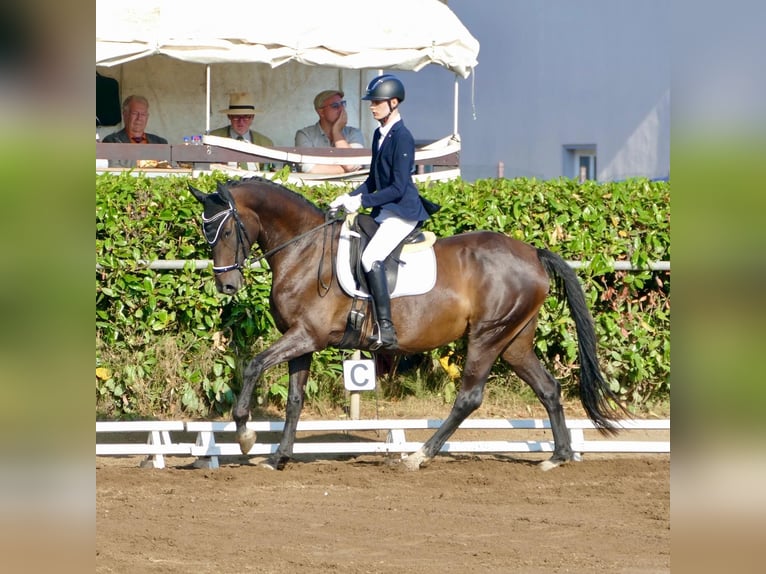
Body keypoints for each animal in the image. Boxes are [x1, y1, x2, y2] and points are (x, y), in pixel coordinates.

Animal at [189, 177, 625, 471]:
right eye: (206, 231)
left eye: (225, 230)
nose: (227, 285)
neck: (305, 250)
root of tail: (533, 253)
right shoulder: (302, 341)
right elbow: (295, 400)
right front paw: (278, 457)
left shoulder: (306, 335)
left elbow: (254, 365)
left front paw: (245, 436)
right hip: (514, 340)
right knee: (548, 388)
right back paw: (559, 456)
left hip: (487, 336)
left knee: (469, 397)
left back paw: (418, 455)